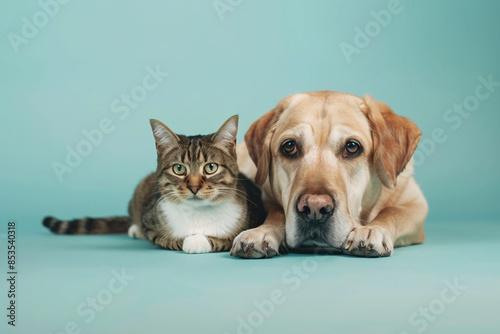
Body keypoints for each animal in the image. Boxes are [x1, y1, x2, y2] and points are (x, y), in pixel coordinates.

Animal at [42, 115, 266, 253]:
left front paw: (198, 240)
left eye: (210, 168)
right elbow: (162, 238)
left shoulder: (251, 217)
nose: (194, 187)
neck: (197, 215)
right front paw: (185, 240)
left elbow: (226, 240)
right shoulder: (150, 219)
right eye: (179, 169)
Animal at [232, 90, 428, 258]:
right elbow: (277, 212)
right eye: (289, 146)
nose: (314, 208)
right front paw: (261, 231)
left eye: (352, 146)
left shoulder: (417, 205)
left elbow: (392, 211)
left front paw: (373, 229)